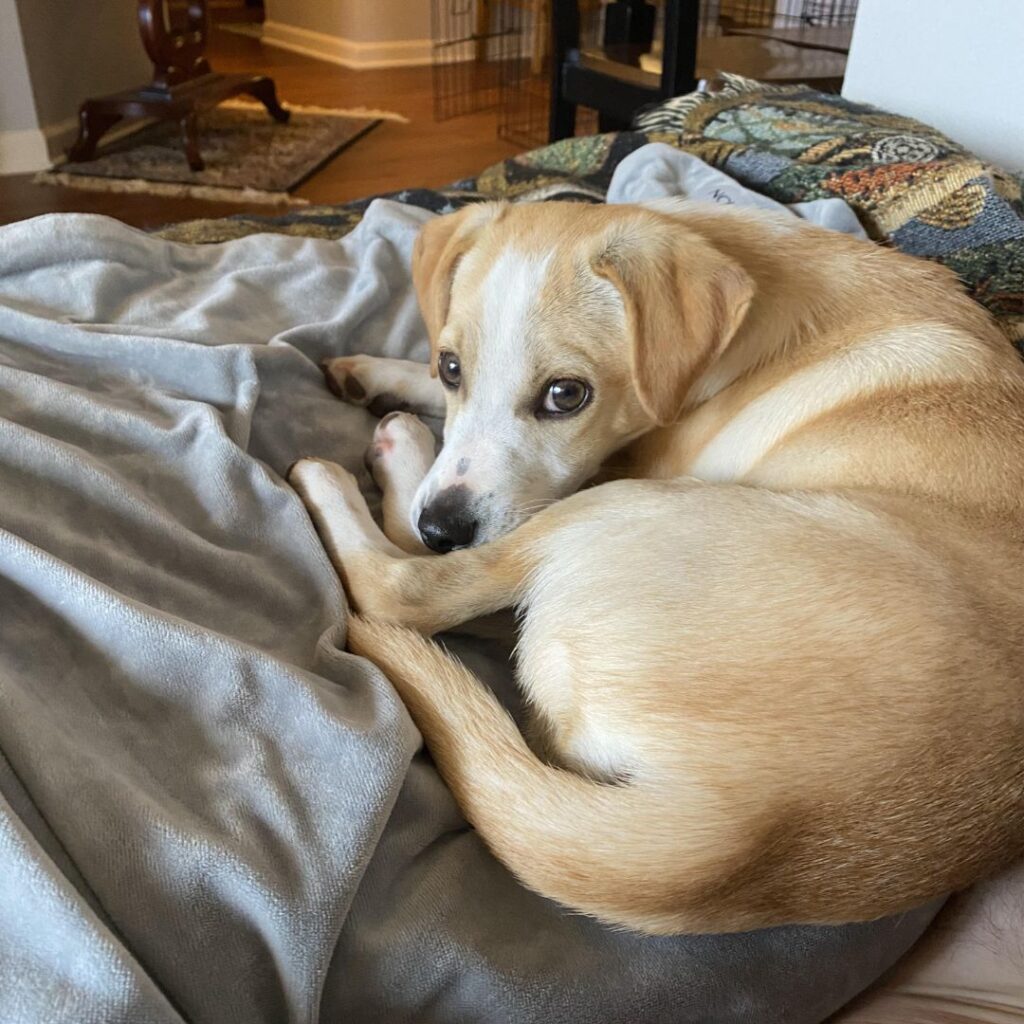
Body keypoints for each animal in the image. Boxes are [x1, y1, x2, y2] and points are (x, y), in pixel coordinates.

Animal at [286, 199, 1024, 937]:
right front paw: (379, 371)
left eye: (565, 395)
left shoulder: (615, 470)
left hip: (616, 508)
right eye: (450, 366)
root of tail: (744, 829)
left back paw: (368, 464)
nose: (441, 527)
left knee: (402, 588)